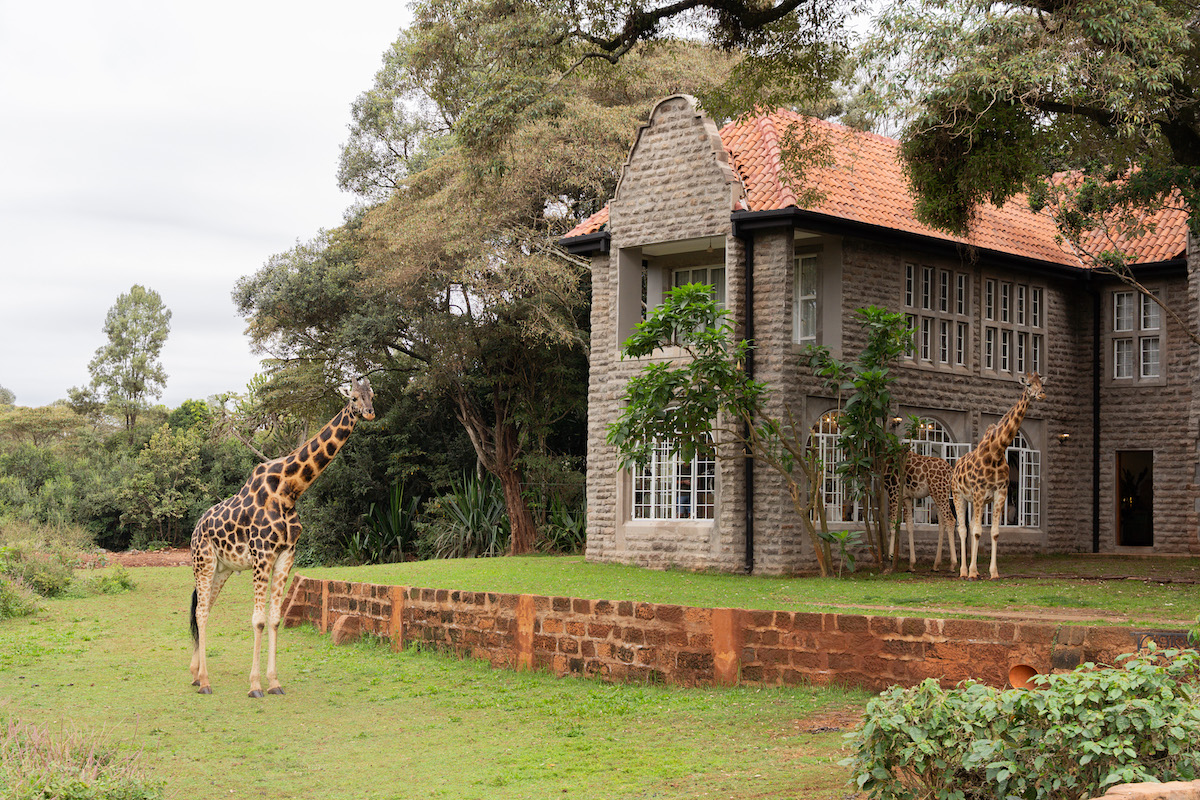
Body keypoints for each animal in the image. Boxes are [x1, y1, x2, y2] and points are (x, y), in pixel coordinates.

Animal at [189, 376, 375, 697]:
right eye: (353, 397)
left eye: (372, 395)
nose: (370, 413)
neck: (290, 490)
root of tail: (195, 529)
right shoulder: (262, 554)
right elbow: (258, 620)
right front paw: (255, 686)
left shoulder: (286, 554)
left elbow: (275, 619)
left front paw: (274, 683)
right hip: (203, 562)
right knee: (200, 612)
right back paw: (205, 682)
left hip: (222, 569)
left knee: (206, 608)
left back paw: (196, 675)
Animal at [951, 372, 1045, 580]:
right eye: (1028, 384)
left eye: (1042, 384)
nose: (1041, 394)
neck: (996, 451)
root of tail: (955, 467)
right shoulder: (978, 491)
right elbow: (977, 531)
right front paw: (972, 572)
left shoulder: (999, 492)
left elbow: (993, 532)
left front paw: (993, 573)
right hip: (959, 495)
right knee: (962, 529)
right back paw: (963, 571)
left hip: (977, 500)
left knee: (971, 525)